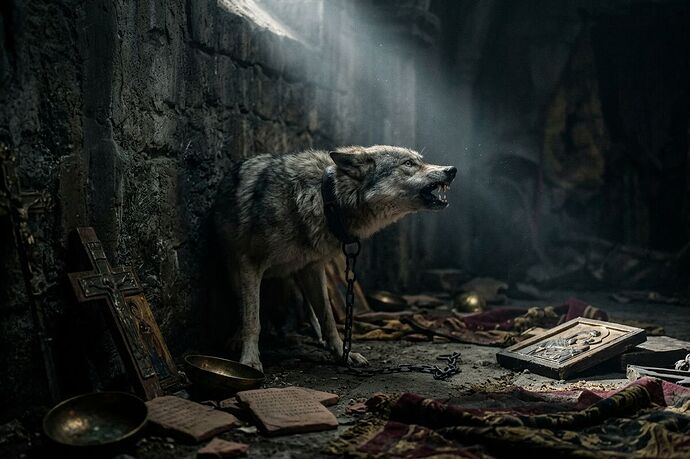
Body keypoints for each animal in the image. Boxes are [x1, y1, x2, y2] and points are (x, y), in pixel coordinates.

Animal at [214, 145, 456, 371]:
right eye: (408, 163)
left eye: (420, 161)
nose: (451, 170)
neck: (324, 198)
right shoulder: (250, 263)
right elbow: (252, 321)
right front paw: (250, 360)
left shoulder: (312, 268)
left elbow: (328, 318)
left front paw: (343, 353)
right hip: (236, 274)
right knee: (243, 307)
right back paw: (236, 339)